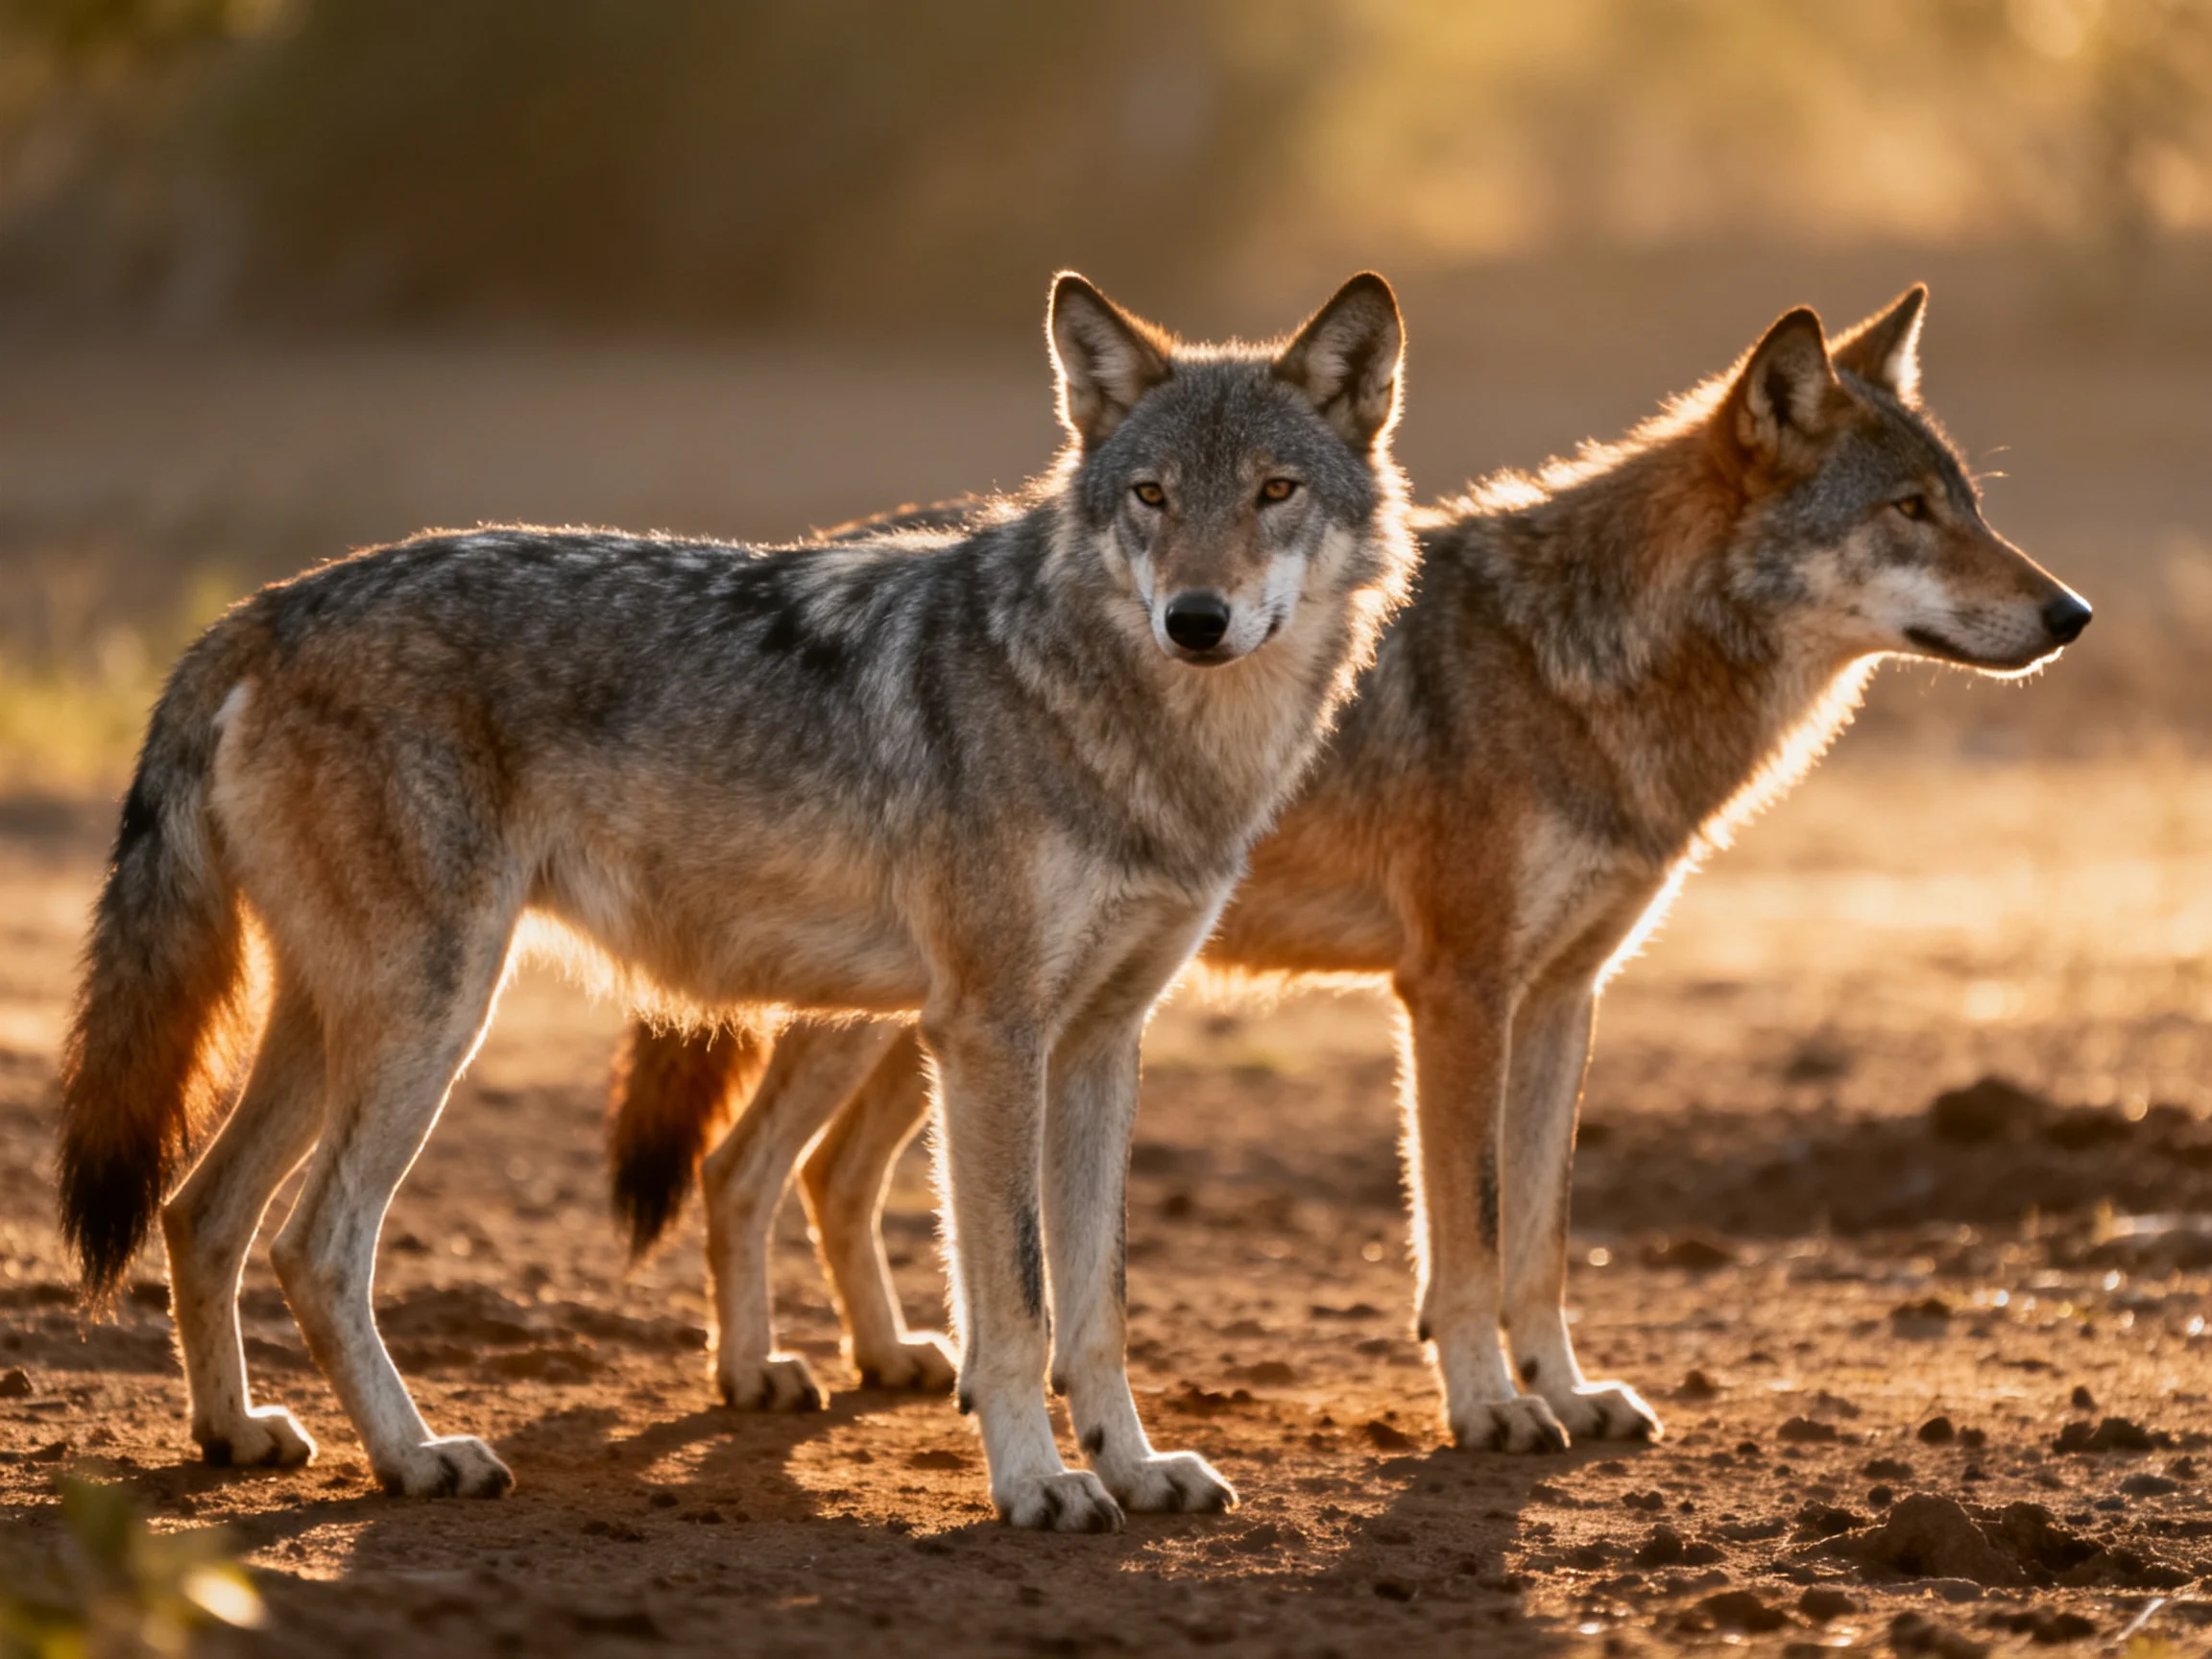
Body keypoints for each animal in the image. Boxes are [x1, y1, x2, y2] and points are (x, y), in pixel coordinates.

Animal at [56, 271, 1417, 1530]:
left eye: (1273, 492)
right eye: (1152, 497)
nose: (1197, 619)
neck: (1151, 741)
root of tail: (265, 606)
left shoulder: (1098, 1042)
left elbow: (1098, 1304)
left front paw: (1133, 1470)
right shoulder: (992, 1036)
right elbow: (1018, 1305)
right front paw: (1035, 1483)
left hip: (342, 1024)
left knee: (198, 1213)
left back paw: (234, 1436)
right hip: (432, 1020)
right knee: (313, 1244)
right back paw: (415, 1457)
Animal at [605, 286, 2091, 1453]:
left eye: (1967, 507)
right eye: (1909, 512)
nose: (2070, 614)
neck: (1586, 664)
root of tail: (850, 548)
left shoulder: (1565, 996)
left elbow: (1542, 1234)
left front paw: (1567, 1392)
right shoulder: (1457, 991)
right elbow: (1472, 1232)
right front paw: (1491, 1409)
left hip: (933, 1021)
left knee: (816, 1178)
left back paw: (890, 1363)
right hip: (916, 1014)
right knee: (744, 1170)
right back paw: (762, 1377)